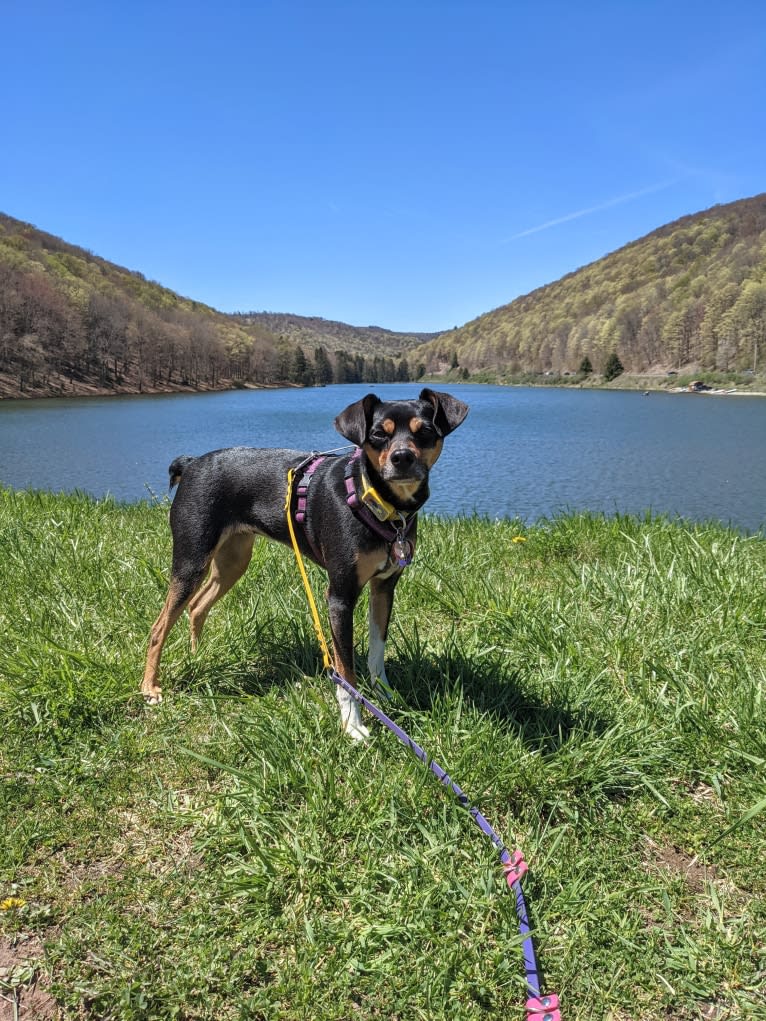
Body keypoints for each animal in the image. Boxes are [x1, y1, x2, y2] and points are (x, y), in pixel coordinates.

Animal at [140, 385, 471, 739]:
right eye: (378, 435)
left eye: (425, 432)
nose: (402, 458)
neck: (374, 500)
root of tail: (190, 464)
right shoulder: (340, 596)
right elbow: (346, 672)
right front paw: (353, 724)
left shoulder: (384, 587)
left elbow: (377, 651)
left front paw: (384, 696)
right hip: (192, 559)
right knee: (159, 626)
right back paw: (150, 687)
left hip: (233, 560)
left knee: (197, 606)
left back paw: (197, 654)